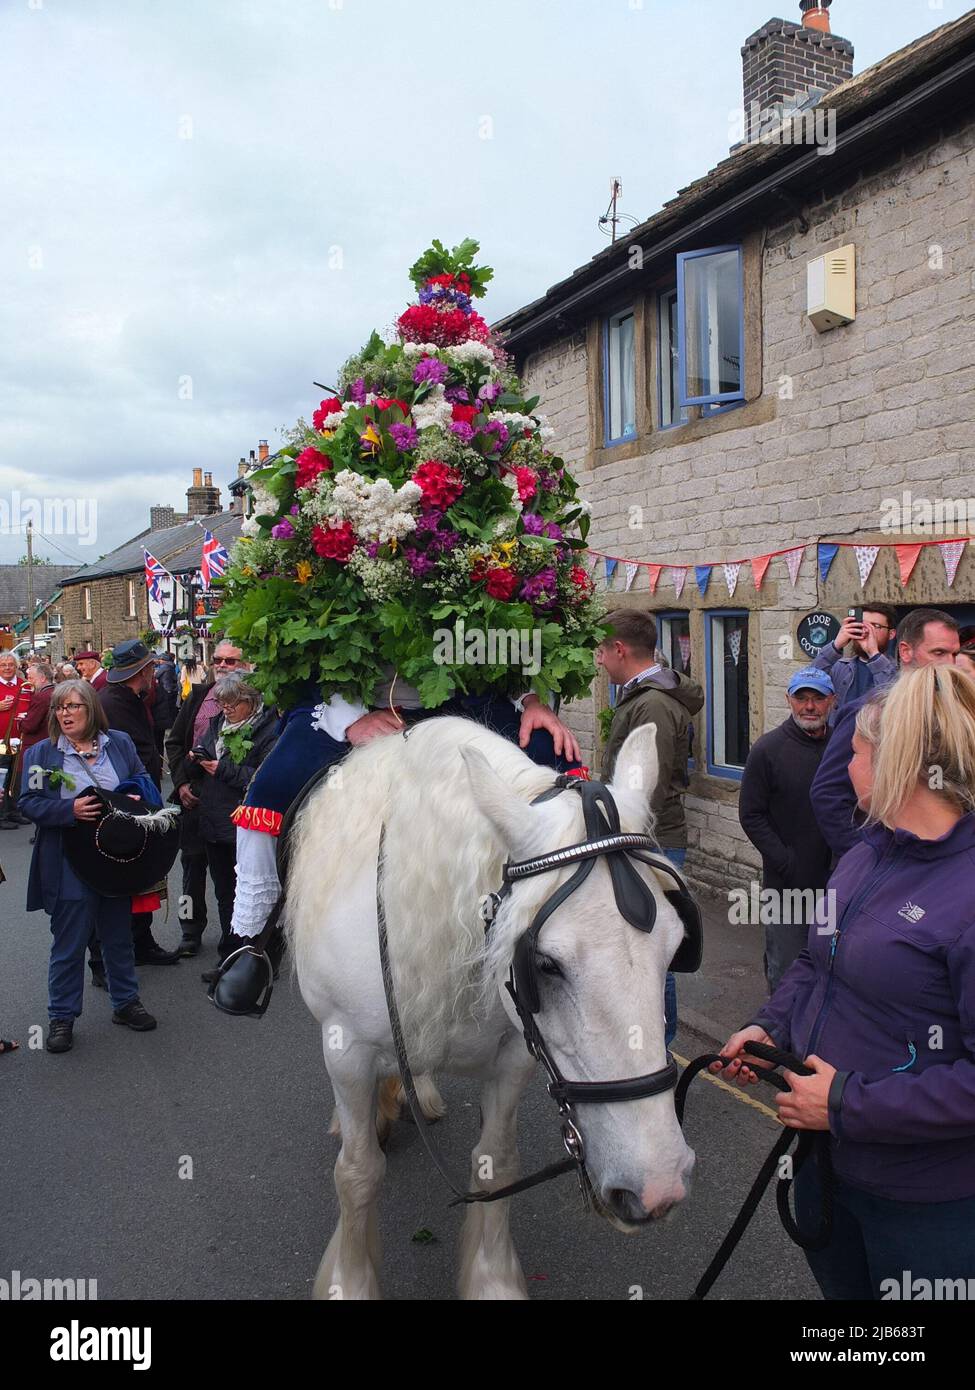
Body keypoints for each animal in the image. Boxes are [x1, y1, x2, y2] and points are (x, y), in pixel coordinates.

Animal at [285, 717, 695, 1301]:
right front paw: (350, 1282)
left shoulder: (514, 1055)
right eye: (545, 964)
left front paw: (491, 1278)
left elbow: (496, 1165)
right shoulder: (347, 1047)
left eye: (677, 945)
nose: (659, 1186)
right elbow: (358, 1172)